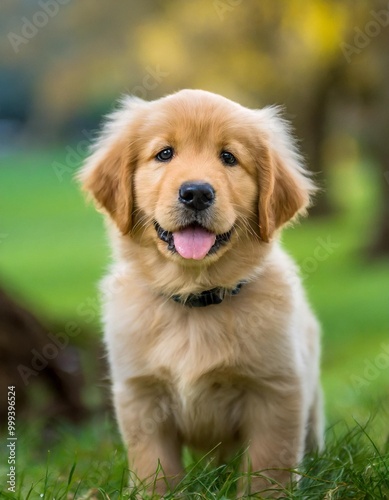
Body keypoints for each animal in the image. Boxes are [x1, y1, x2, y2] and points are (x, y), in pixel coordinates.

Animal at [77, 90, 322, 496]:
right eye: (164, 153)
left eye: (229, 157)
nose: (196, 193)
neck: (194, 298)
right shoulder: (141, 394)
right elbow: (154, 467)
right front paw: (155, 494)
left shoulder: (276, 391)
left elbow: (269, 466)